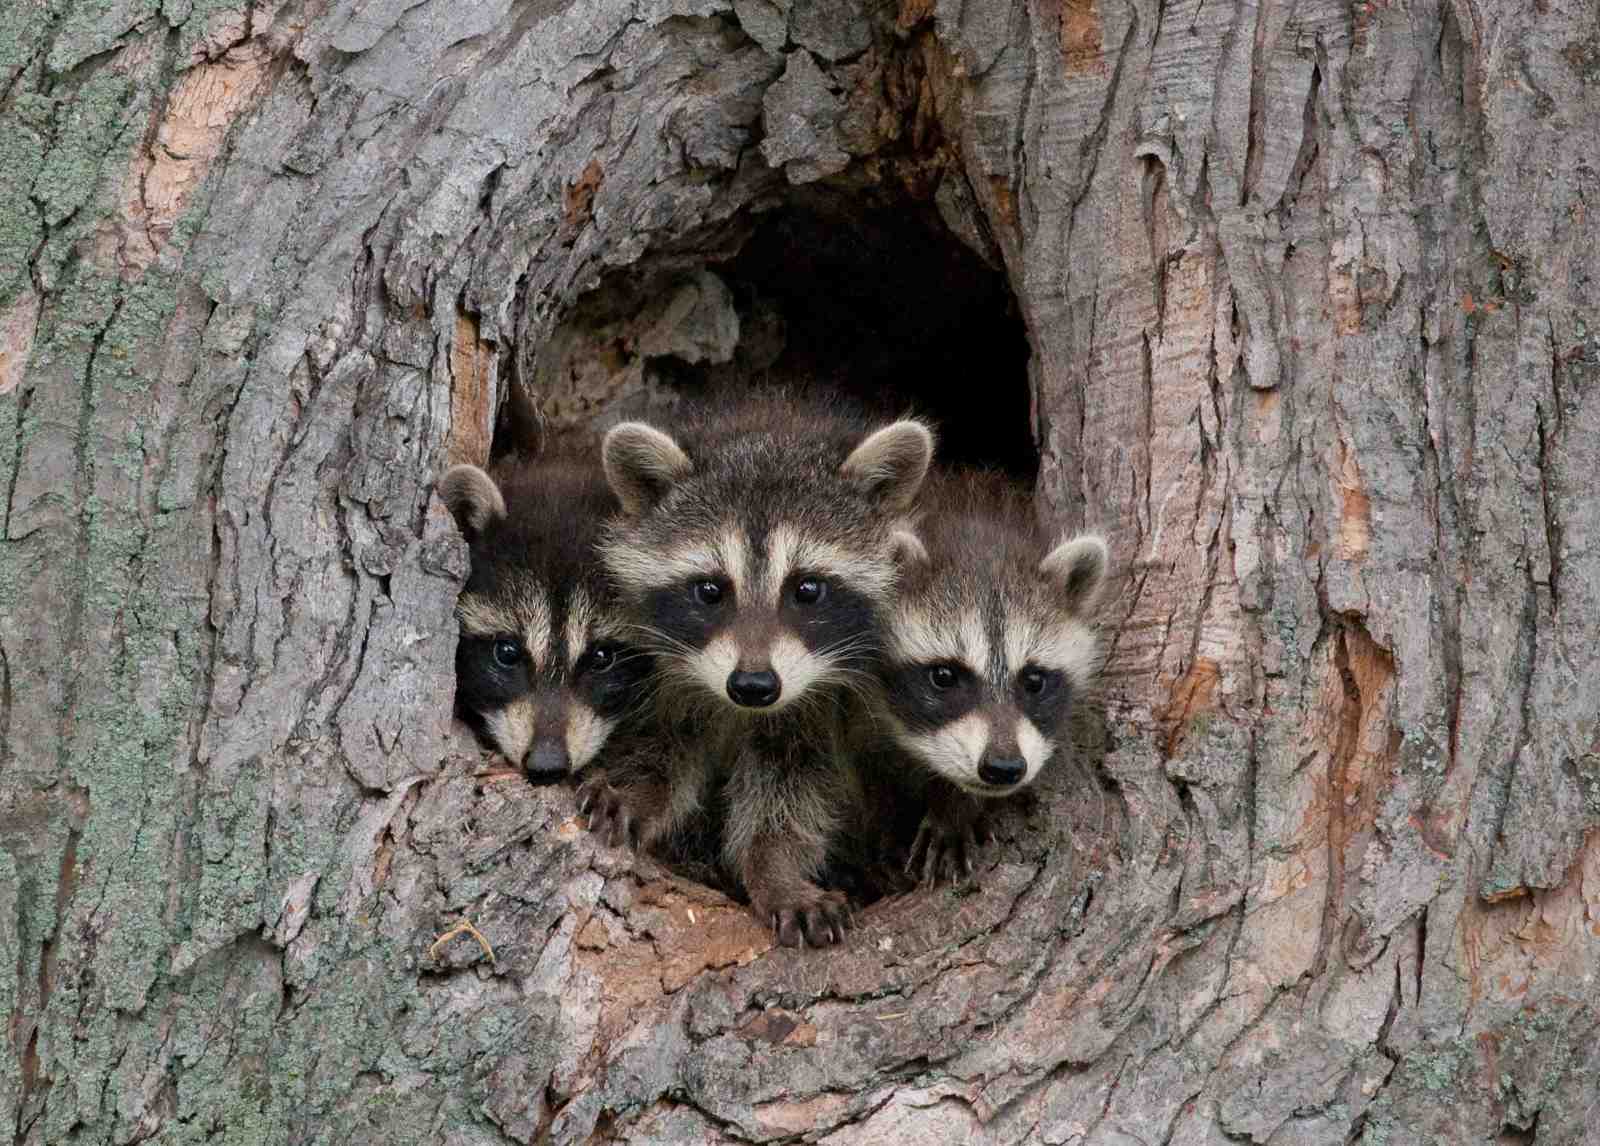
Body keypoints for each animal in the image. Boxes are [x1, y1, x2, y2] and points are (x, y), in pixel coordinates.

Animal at [584, 391, 934, 947]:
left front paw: (776, 872)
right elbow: (662, 743)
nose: (752, 685)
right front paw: (636, 789)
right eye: (709, 590)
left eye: (807, 589)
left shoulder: (818, 704)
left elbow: (792, 790)